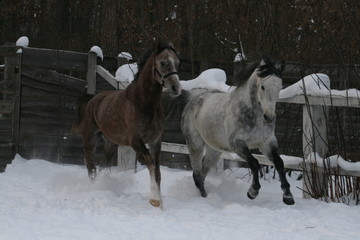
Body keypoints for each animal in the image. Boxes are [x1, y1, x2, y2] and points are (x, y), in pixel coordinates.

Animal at [73, 42, 181, 206]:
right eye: (163, 62)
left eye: (177, 62)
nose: (176, 88)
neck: (145, 103)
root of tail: (92, 100)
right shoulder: (135, 141)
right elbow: (150, 164)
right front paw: (155, 200)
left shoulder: (155, 141)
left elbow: (157, 171)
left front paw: (160, 202)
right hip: (90, 138)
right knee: (91, 167)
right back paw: (93, 188)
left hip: (110, 143)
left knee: (102, 165)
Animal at [163, 57, 296, 205]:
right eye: (262, 87)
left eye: (280, 86)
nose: (269, 117)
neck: (252, 115)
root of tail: (193, 100)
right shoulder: (237, 143)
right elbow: (255, 163)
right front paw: (253, 192)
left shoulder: (267, 142)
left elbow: (279, 163)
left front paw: (288, 196)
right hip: (195, 145)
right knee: (197, 174)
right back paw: (205, 199)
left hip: (214, 151)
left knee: (202, 173)